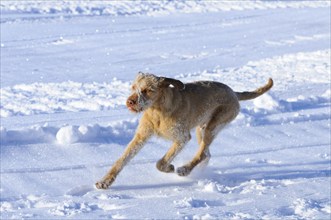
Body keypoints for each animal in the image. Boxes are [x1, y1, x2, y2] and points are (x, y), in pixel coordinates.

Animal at [94, 72, 274, 189]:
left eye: (147, 90)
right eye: (133, 87)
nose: (130, 102)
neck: (157, 111)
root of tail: (234, 93)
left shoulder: (181, 137)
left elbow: (161, 162)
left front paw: (169, 168)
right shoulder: (141, 137)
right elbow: (121, 161)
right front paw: (105, 181)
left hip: (213, 126)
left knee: (202, 153)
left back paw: (185, 170)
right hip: (202, 129)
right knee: (206, 154)